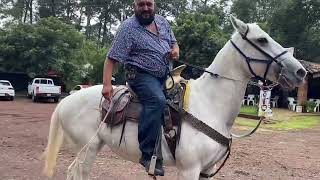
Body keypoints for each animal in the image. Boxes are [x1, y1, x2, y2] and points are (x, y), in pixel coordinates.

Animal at [41, 16, 306, 179]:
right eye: (262, 39)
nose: (299, 71)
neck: (209, 104)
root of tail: (66, 100)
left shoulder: (206, 169)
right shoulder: (189, 169)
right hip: (86, 148)